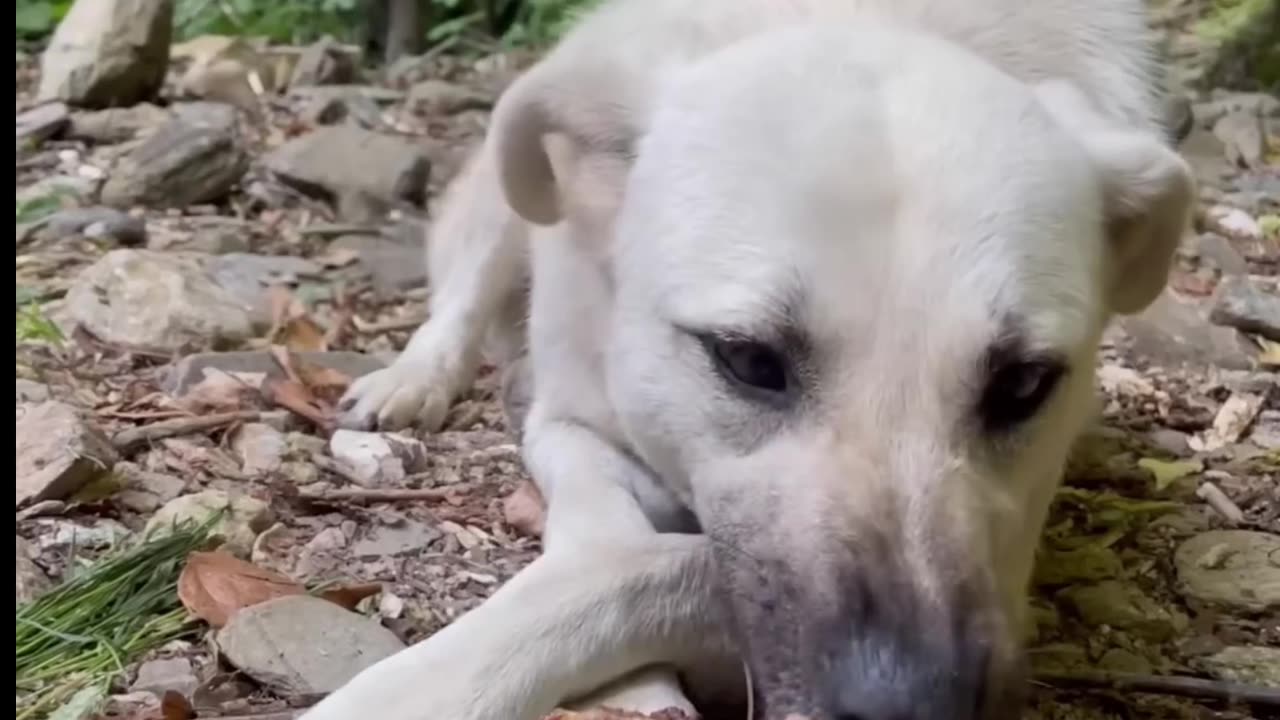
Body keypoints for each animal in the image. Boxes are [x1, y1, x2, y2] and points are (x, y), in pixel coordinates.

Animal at [317, 2, 1187, 712]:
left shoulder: (1011, 565)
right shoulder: (570, 424)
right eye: (746, 360)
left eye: (1024, 384)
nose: (911, 706)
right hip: (510, 191)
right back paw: (412, 380)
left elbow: (639, 565)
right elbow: (618, 539)